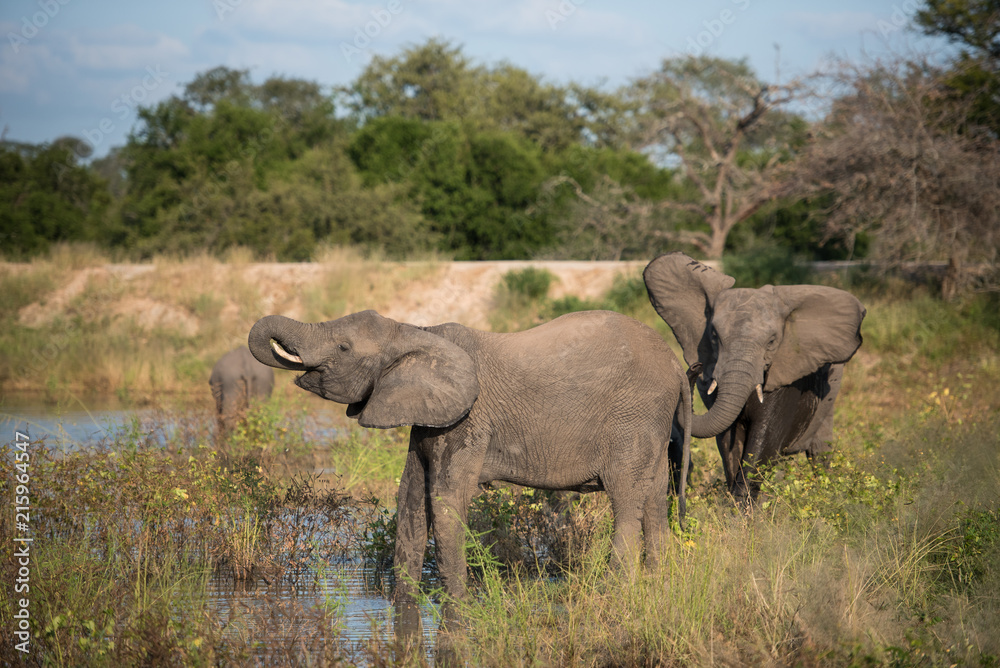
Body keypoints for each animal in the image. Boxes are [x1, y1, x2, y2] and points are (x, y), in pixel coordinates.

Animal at [248, 309, 693, 610]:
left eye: (343, 347)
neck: (414, 331)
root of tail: (677, 364)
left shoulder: (467, 419)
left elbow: (446, 501)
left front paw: (456, 605)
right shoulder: (427, 418)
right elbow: (410, 499)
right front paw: (403, 605)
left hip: (633, 417)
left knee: (626, 498)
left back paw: (616, 591)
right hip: (651, 424)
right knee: (655, 498)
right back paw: (660, 582)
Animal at [643, 252, 866, 504]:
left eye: (771, 341)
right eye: (714, 335)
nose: (696, 367)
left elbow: (765, 436)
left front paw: (743, 508)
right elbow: (729, 439)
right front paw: (735, 504)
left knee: (819, 449)